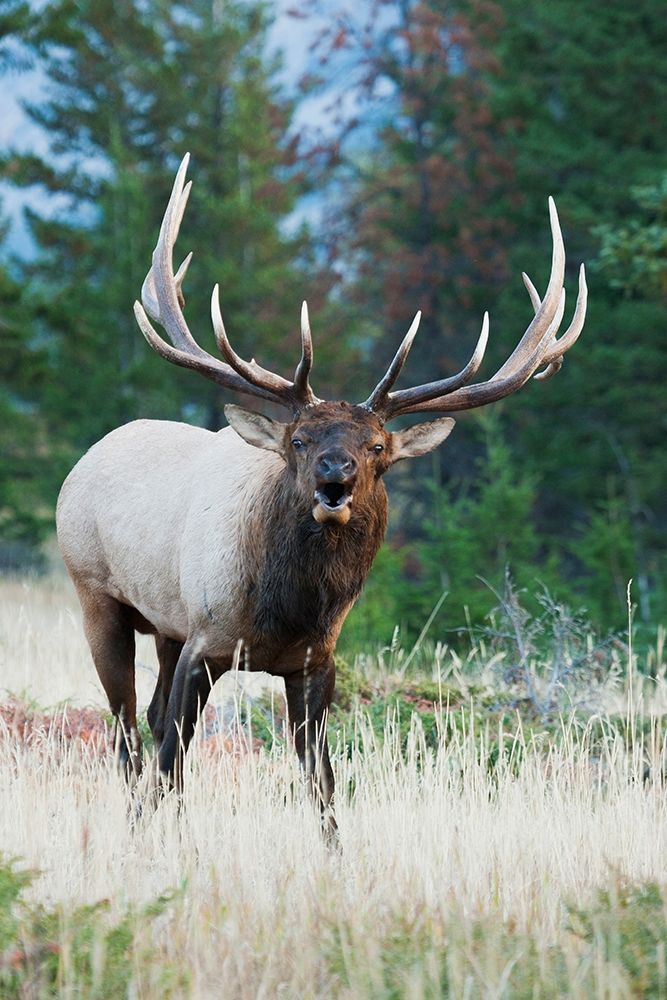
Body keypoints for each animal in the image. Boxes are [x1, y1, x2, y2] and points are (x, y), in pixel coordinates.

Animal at [56, 154, 587, 843]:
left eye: (378, 445)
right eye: (299, 440)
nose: (335, 473)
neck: (286, 609)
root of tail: (89, 456)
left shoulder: (315, 662)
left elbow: (323, 784)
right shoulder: (206, 638)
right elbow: (173, 760)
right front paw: (159, 841)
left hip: (165, 623)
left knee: (144, 716)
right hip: (97, 594)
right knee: (126, 729)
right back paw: (132, 816)